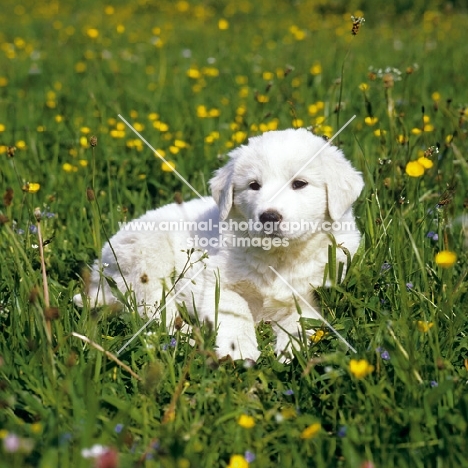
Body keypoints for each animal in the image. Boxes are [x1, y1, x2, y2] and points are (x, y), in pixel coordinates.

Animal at [75, 128, 364, 362]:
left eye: (300, 184)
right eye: (253, 186)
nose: (268, 217)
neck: (278, 256)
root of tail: (99, 271)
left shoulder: (317, 290)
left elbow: (301, 317)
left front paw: (290, 348)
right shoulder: (214, 283)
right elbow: (236, 309)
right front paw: (239, 349)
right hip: (146, 258)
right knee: (154, 312)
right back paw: (189, 337)